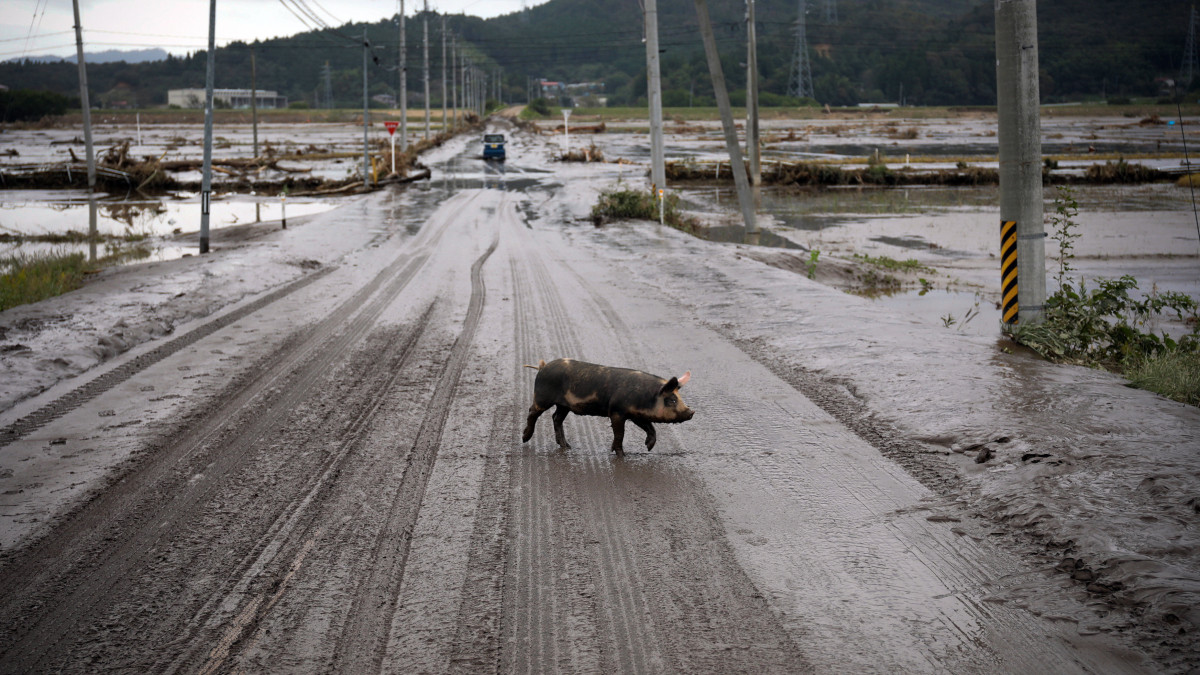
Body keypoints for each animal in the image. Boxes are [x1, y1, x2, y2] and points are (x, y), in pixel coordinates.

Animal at [523, 355, 696, 454]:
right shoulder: (616, 411)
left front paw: (648, 447)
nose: (691, 412)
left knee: (556, 418)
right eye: (672, 400)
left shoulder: (635, 414)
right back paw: (525, 438)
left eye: (679, 398)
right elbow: (620, 434)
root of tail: (542, 367)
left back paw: (567, 447)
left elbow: (650, 427)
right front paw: (620, 454)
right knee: (532, 412)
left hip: (563, 405)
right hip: (542, 397)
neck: (644, 396)